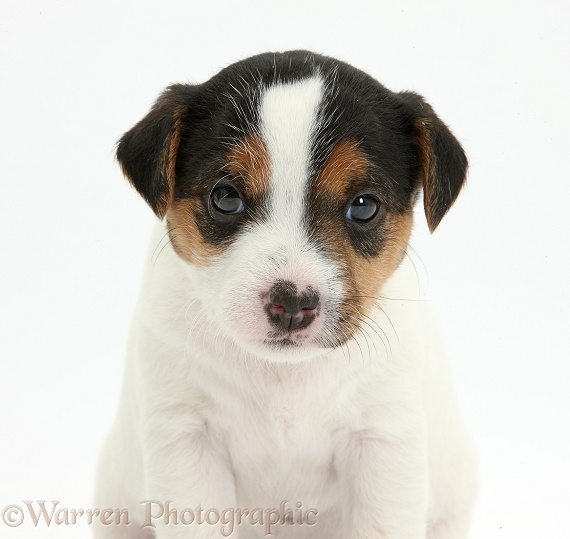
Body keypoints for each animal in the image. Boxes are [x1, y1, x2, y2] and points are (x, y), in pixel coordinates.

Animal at [95, 50, 478, 539]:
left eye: (364, 206)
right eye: (226, 197)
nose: (292, 302)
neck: (283, 378)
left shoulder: (384, 442)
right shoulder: (186, 439)